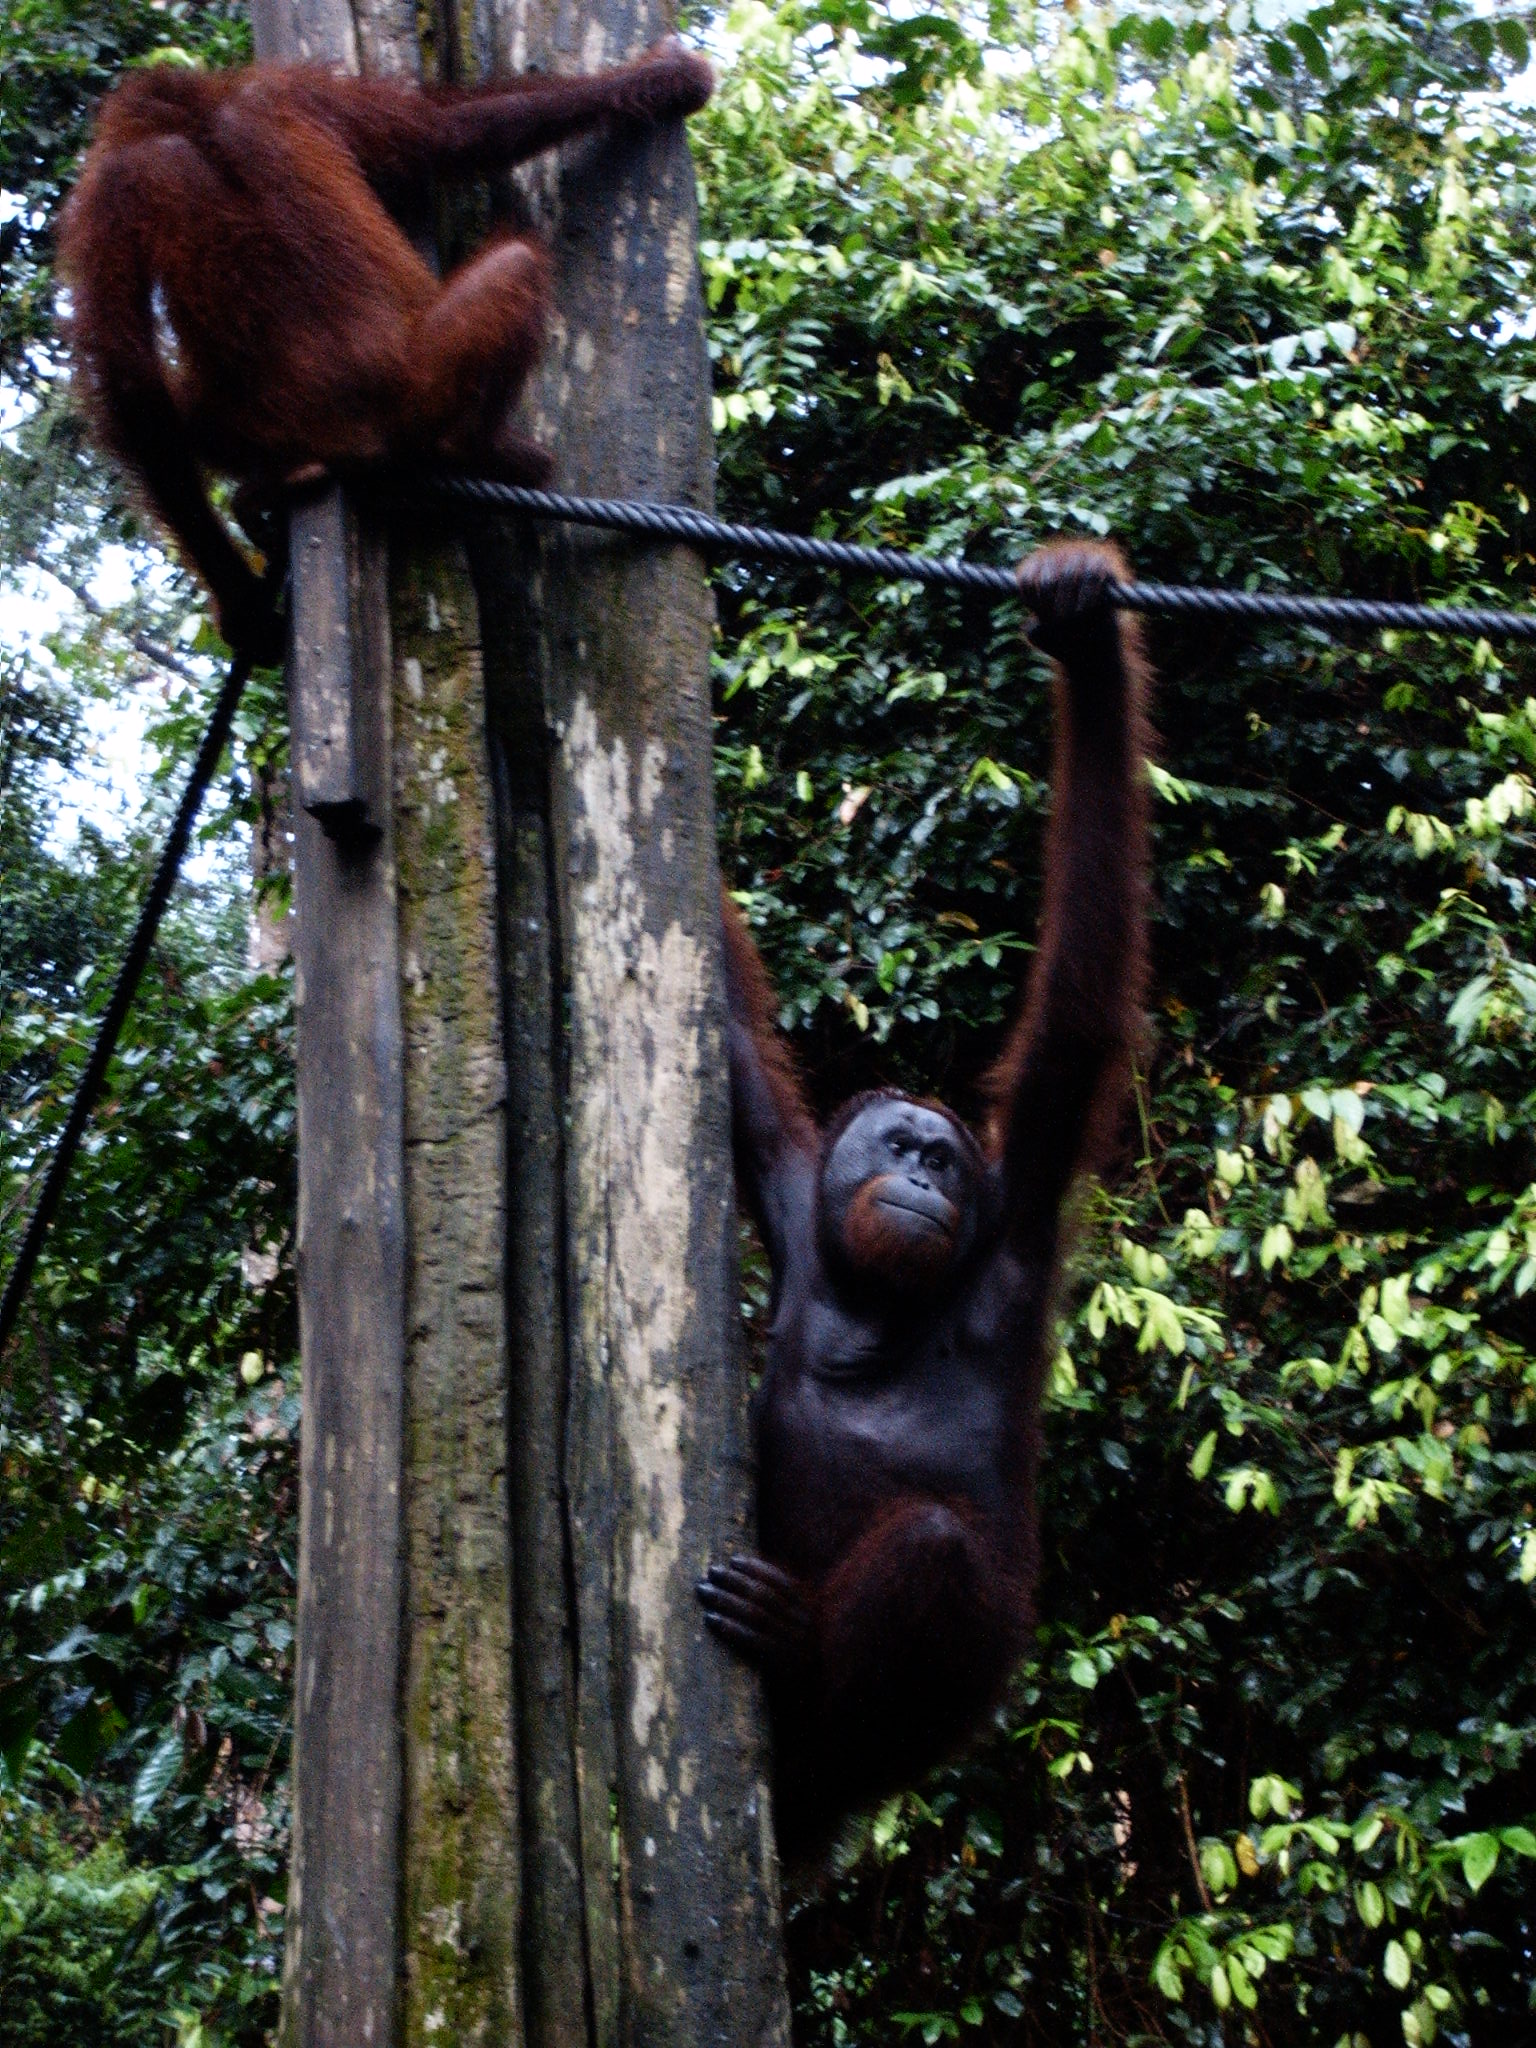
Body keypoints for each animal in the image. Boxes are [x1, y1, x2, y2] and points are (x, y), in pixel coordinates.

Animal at [56, 42, 714, 659]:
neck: (197, 123)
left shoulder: (262, 101)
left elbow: (442, 132)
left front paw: (663, 78)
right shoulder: (130, 180)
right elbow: (130, 380)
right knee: (516, 261)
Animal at [698, 539, 1153, 1855]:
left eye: (947, 1161)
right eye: (901, 1143)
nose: (918, 1173)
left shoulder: (1016, 1217)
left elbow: (1080, 1007)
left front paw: (1081, 631)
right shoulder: (791, 1186)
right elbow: (733, 1046)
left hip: (962, 1688)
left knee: (941, 1554)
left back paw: (797, 1646)